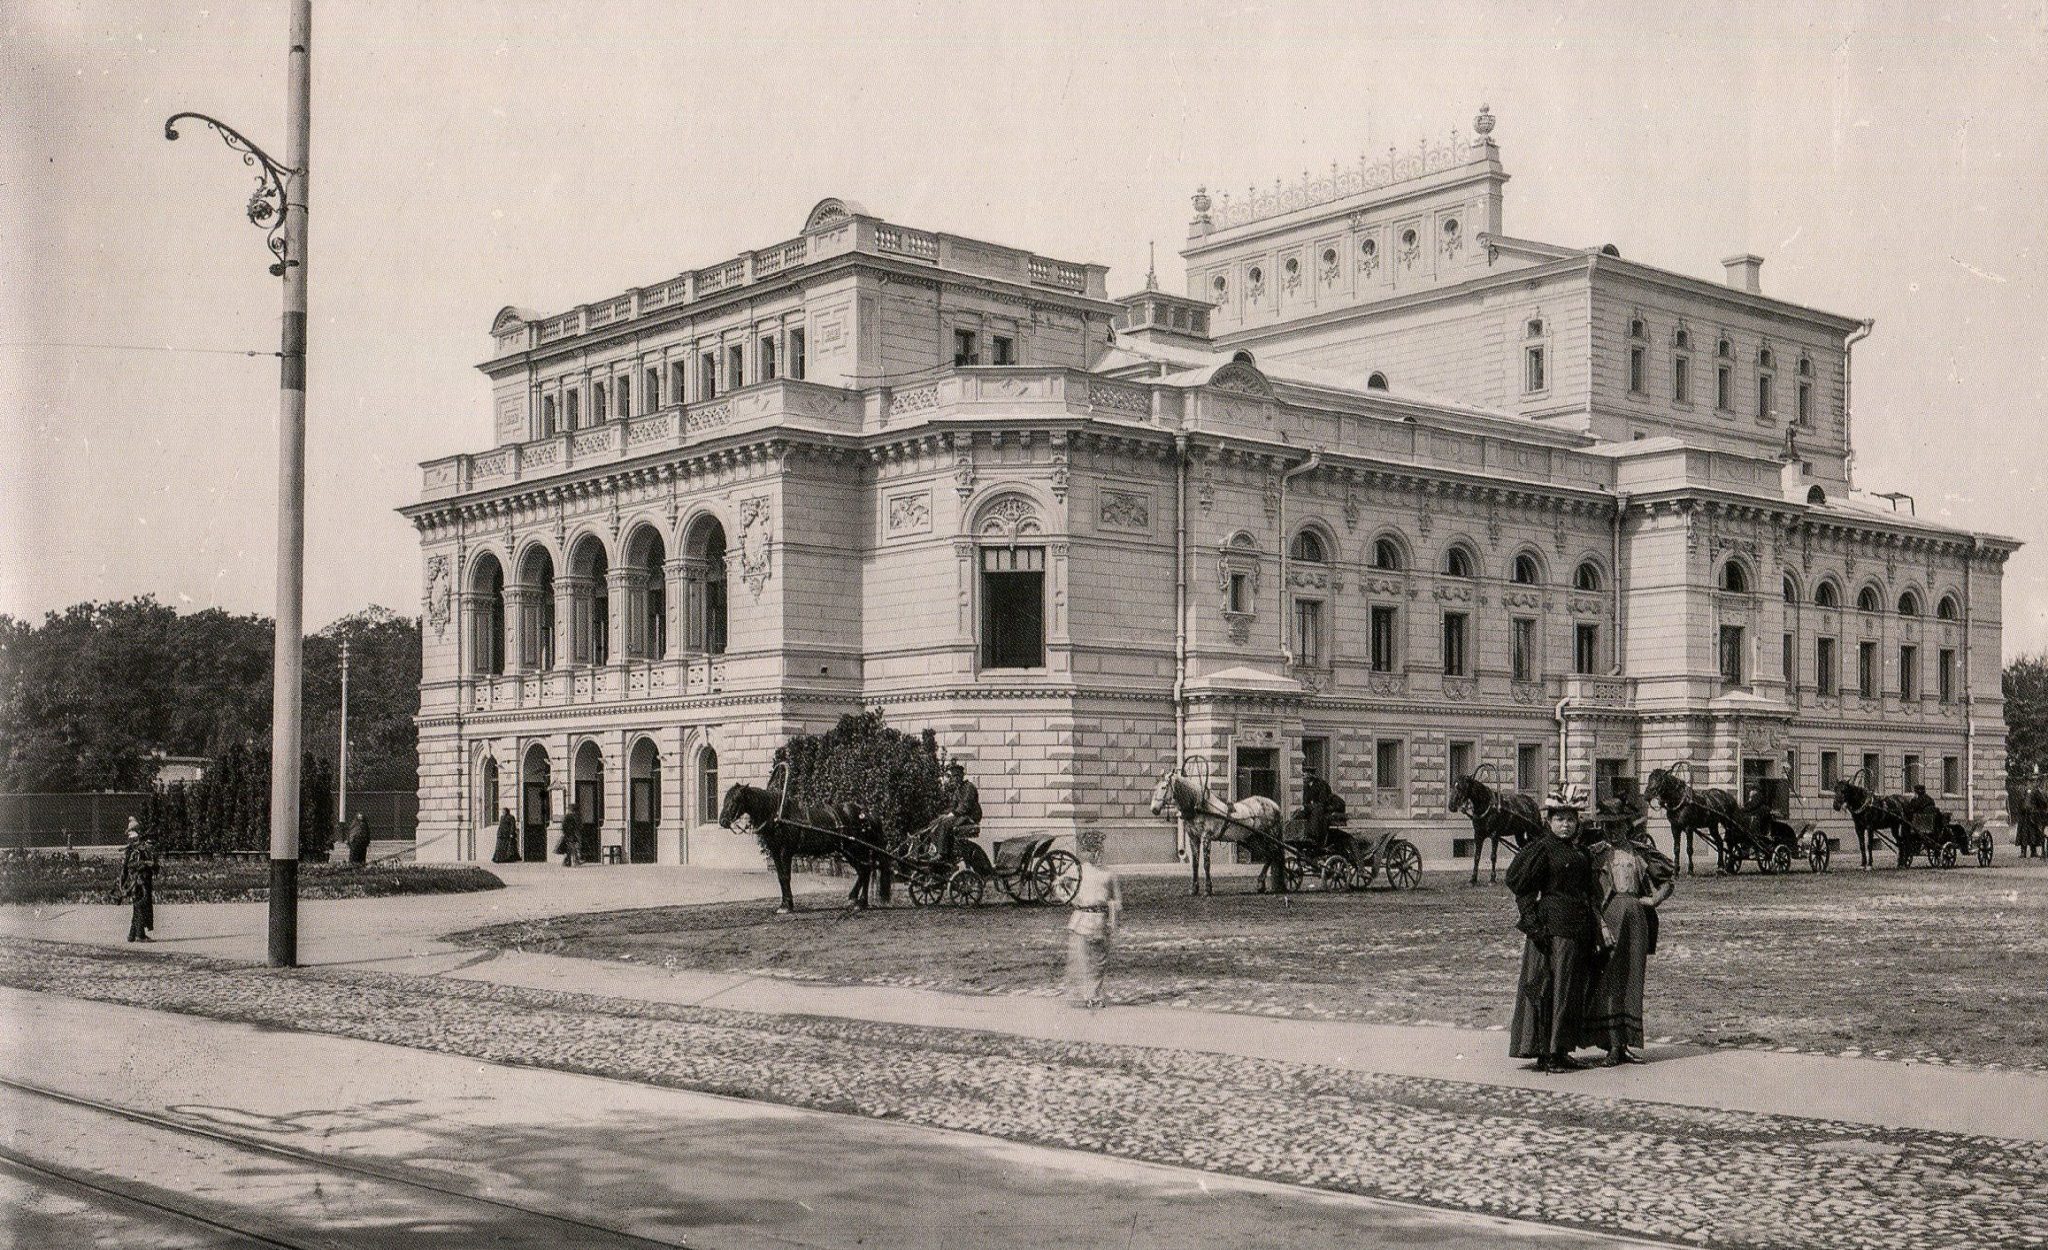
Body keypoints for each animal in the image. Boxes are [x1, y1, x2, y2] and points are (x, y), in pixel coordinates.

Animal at [720, 782, 888, 909]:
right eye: (725, 798)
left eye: (735, 799)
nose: (722, 821)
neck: (777, 816)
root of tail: (866, 813)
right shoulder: (775, 851)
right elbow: (781, 877)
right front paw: (785, 903)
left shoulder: (786, 851)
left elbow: (786, 876)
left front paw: (787, 905)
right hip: (847, 851)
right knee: (862, 871)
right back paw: (855, 899)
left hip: (857, 849)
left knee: (865, 870)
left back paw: (861, 902)